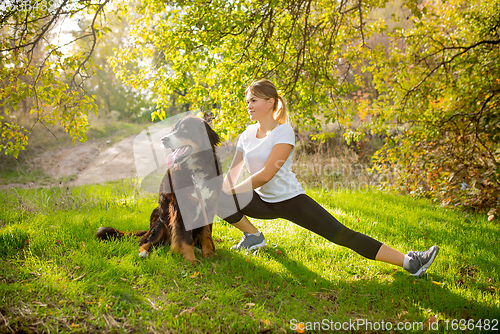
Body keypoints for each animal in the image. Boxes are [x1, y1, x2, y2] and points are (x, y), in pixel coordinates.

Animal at [96, 116, 222, 264]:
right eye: (173, 130)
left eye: (185, 130)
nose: (163, 139)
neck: (195, 170)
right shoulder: (180, 208)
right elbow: (185, 238)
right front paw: (190, 260)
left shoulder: (210, 204)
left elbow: (206, 234)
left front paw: (209, 255)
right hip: (159, 223)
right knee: (145, 242)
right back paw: (143, 252)